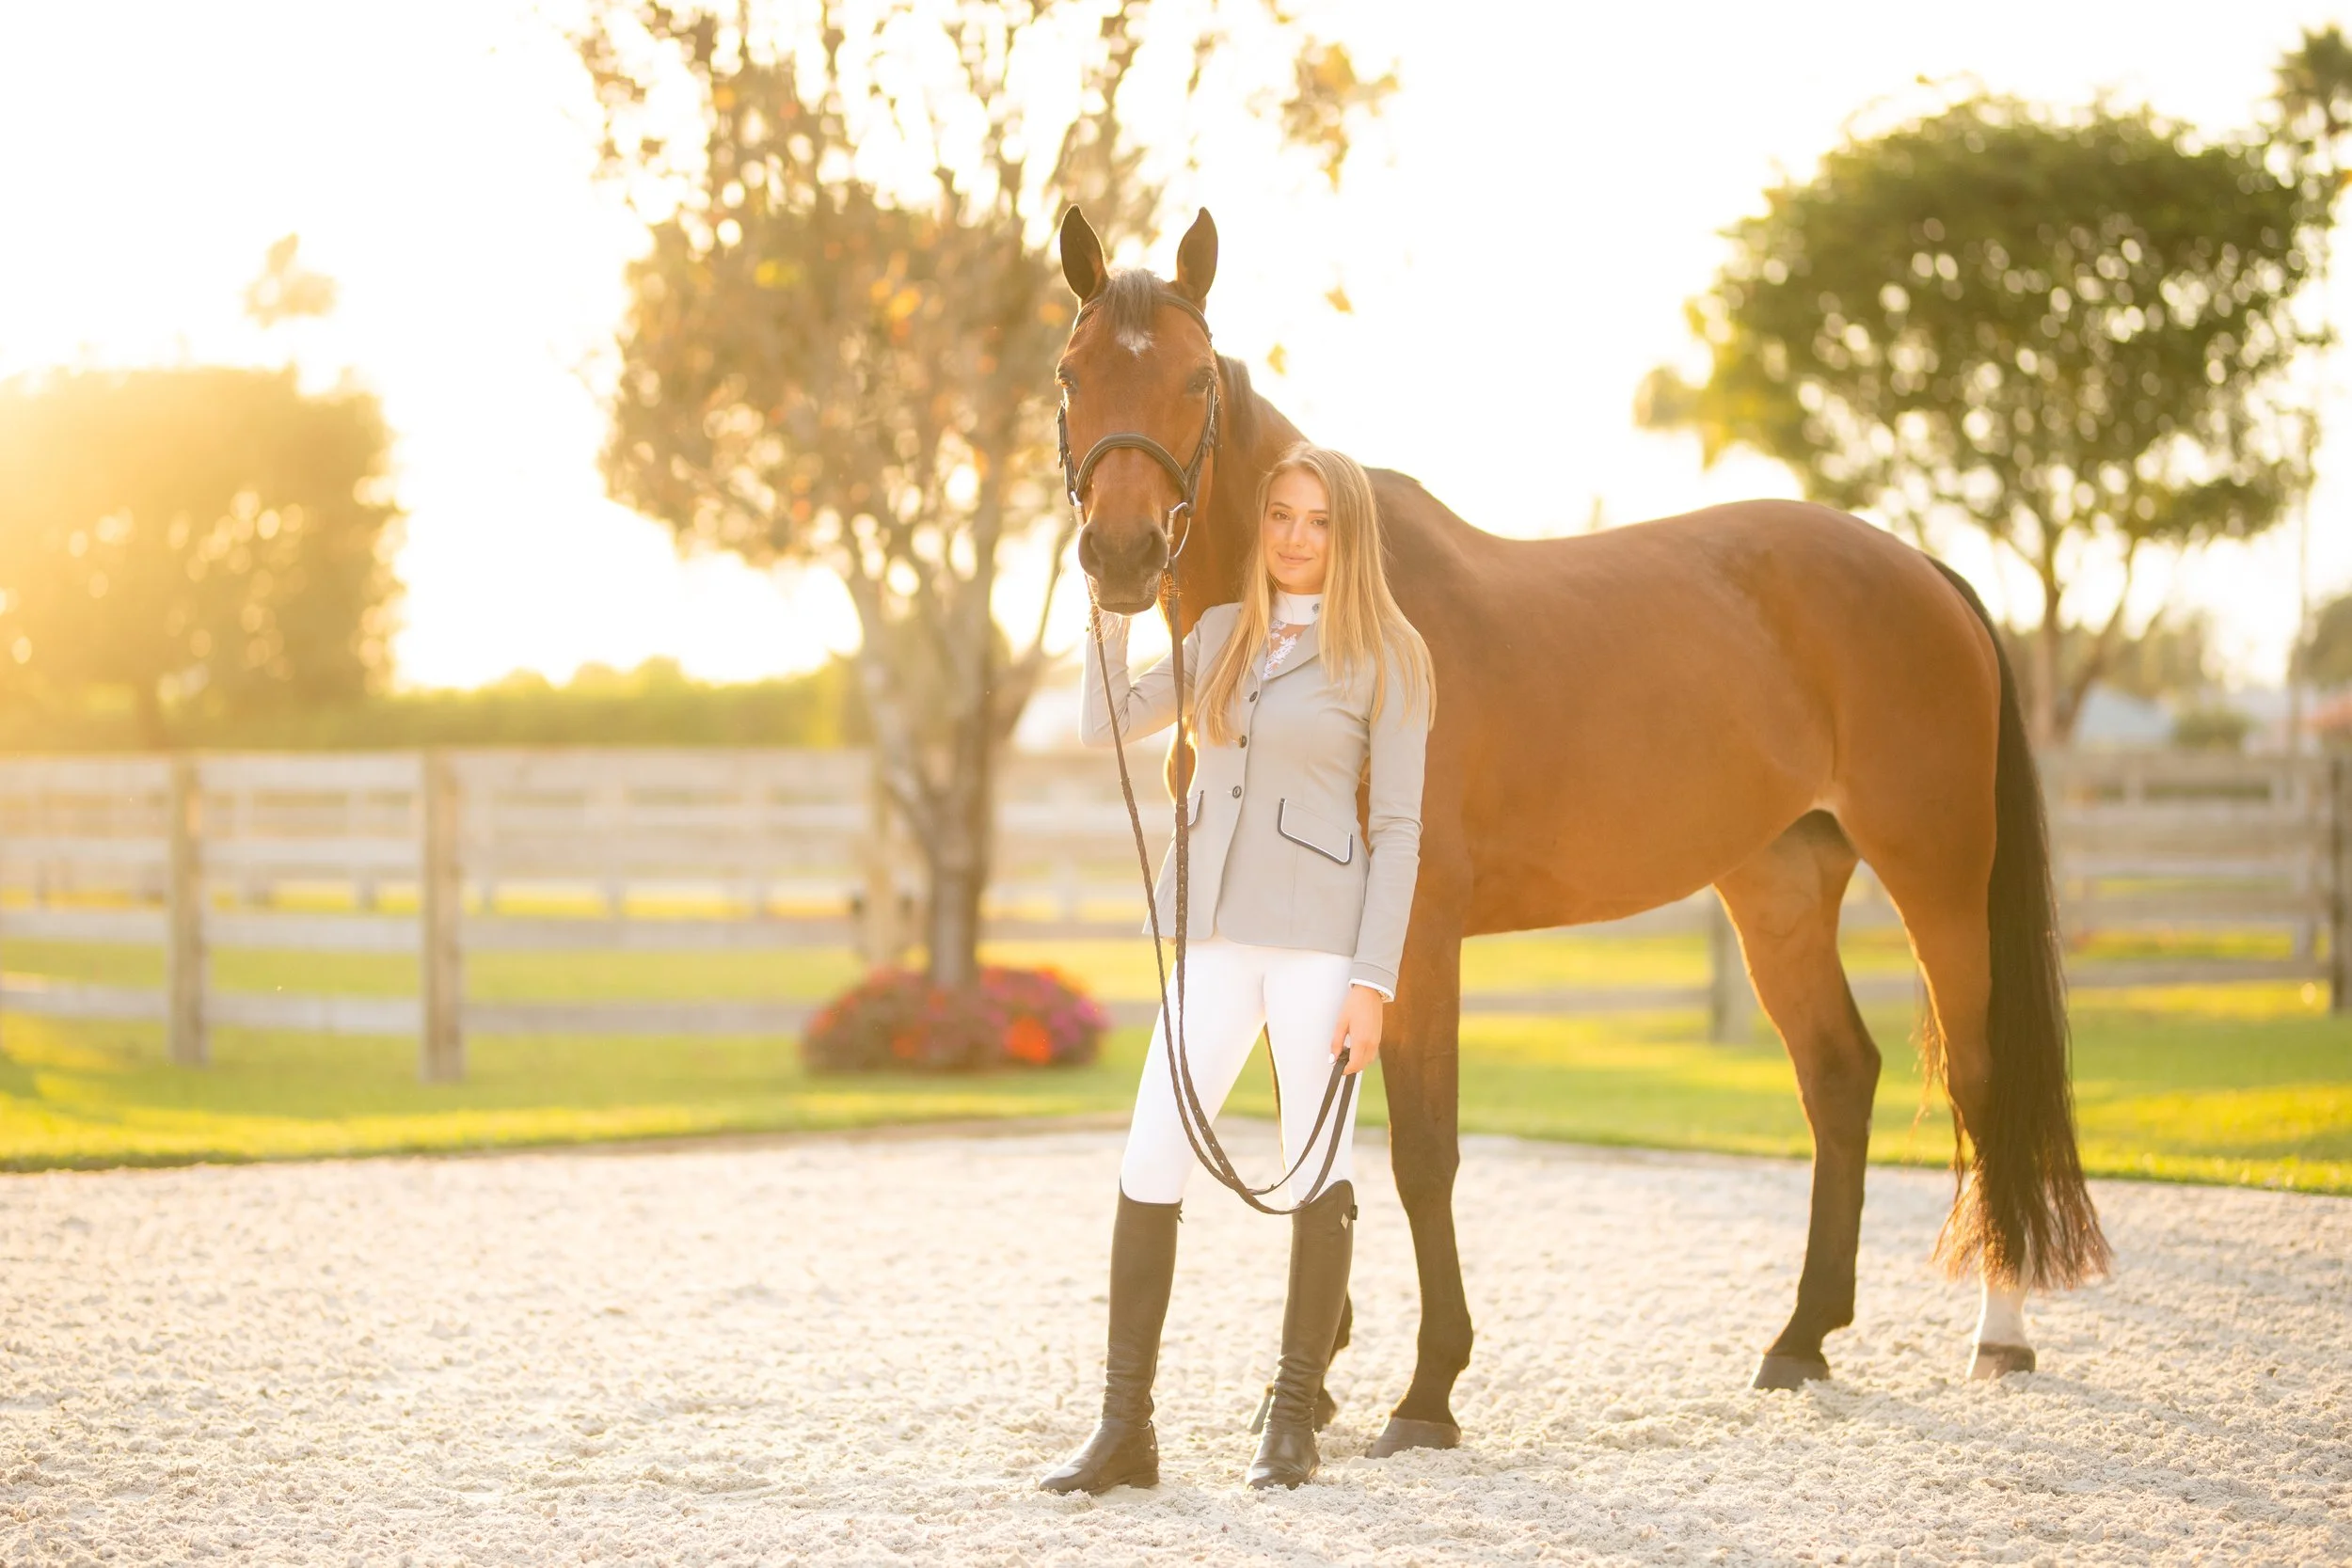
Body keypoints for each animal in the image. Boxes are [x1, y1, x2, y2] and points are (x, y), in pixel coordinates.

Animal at [1053, 205, 2110, 1458]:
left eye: (1193, 377)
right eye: (1071, 373)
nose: (1119, 556)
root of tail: (1922, 570)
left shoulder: (1415, 936)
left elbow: (1422, 1152)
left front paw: (1427, 1391)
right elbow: (1319, 1139)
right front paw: (1316, 1382)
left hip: (1937, 876)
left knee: (1980, 1077)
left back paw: (1998, 1333)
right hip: (1778, 885)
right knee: (1838, 1075)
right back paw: (1800, 1338)